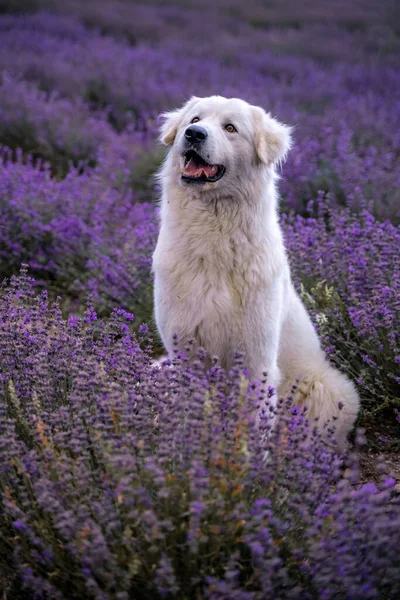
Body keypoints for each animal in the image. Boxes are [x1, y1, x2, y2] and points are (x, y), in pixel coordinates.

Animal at [152, 96, 360, 448]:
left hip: (326, 391)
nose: (194, 134)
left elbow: (253, 423)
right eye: (194, 120)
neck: (212, 232)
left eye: (230, 128)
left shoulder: (255, 359)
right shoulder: (185, 352)